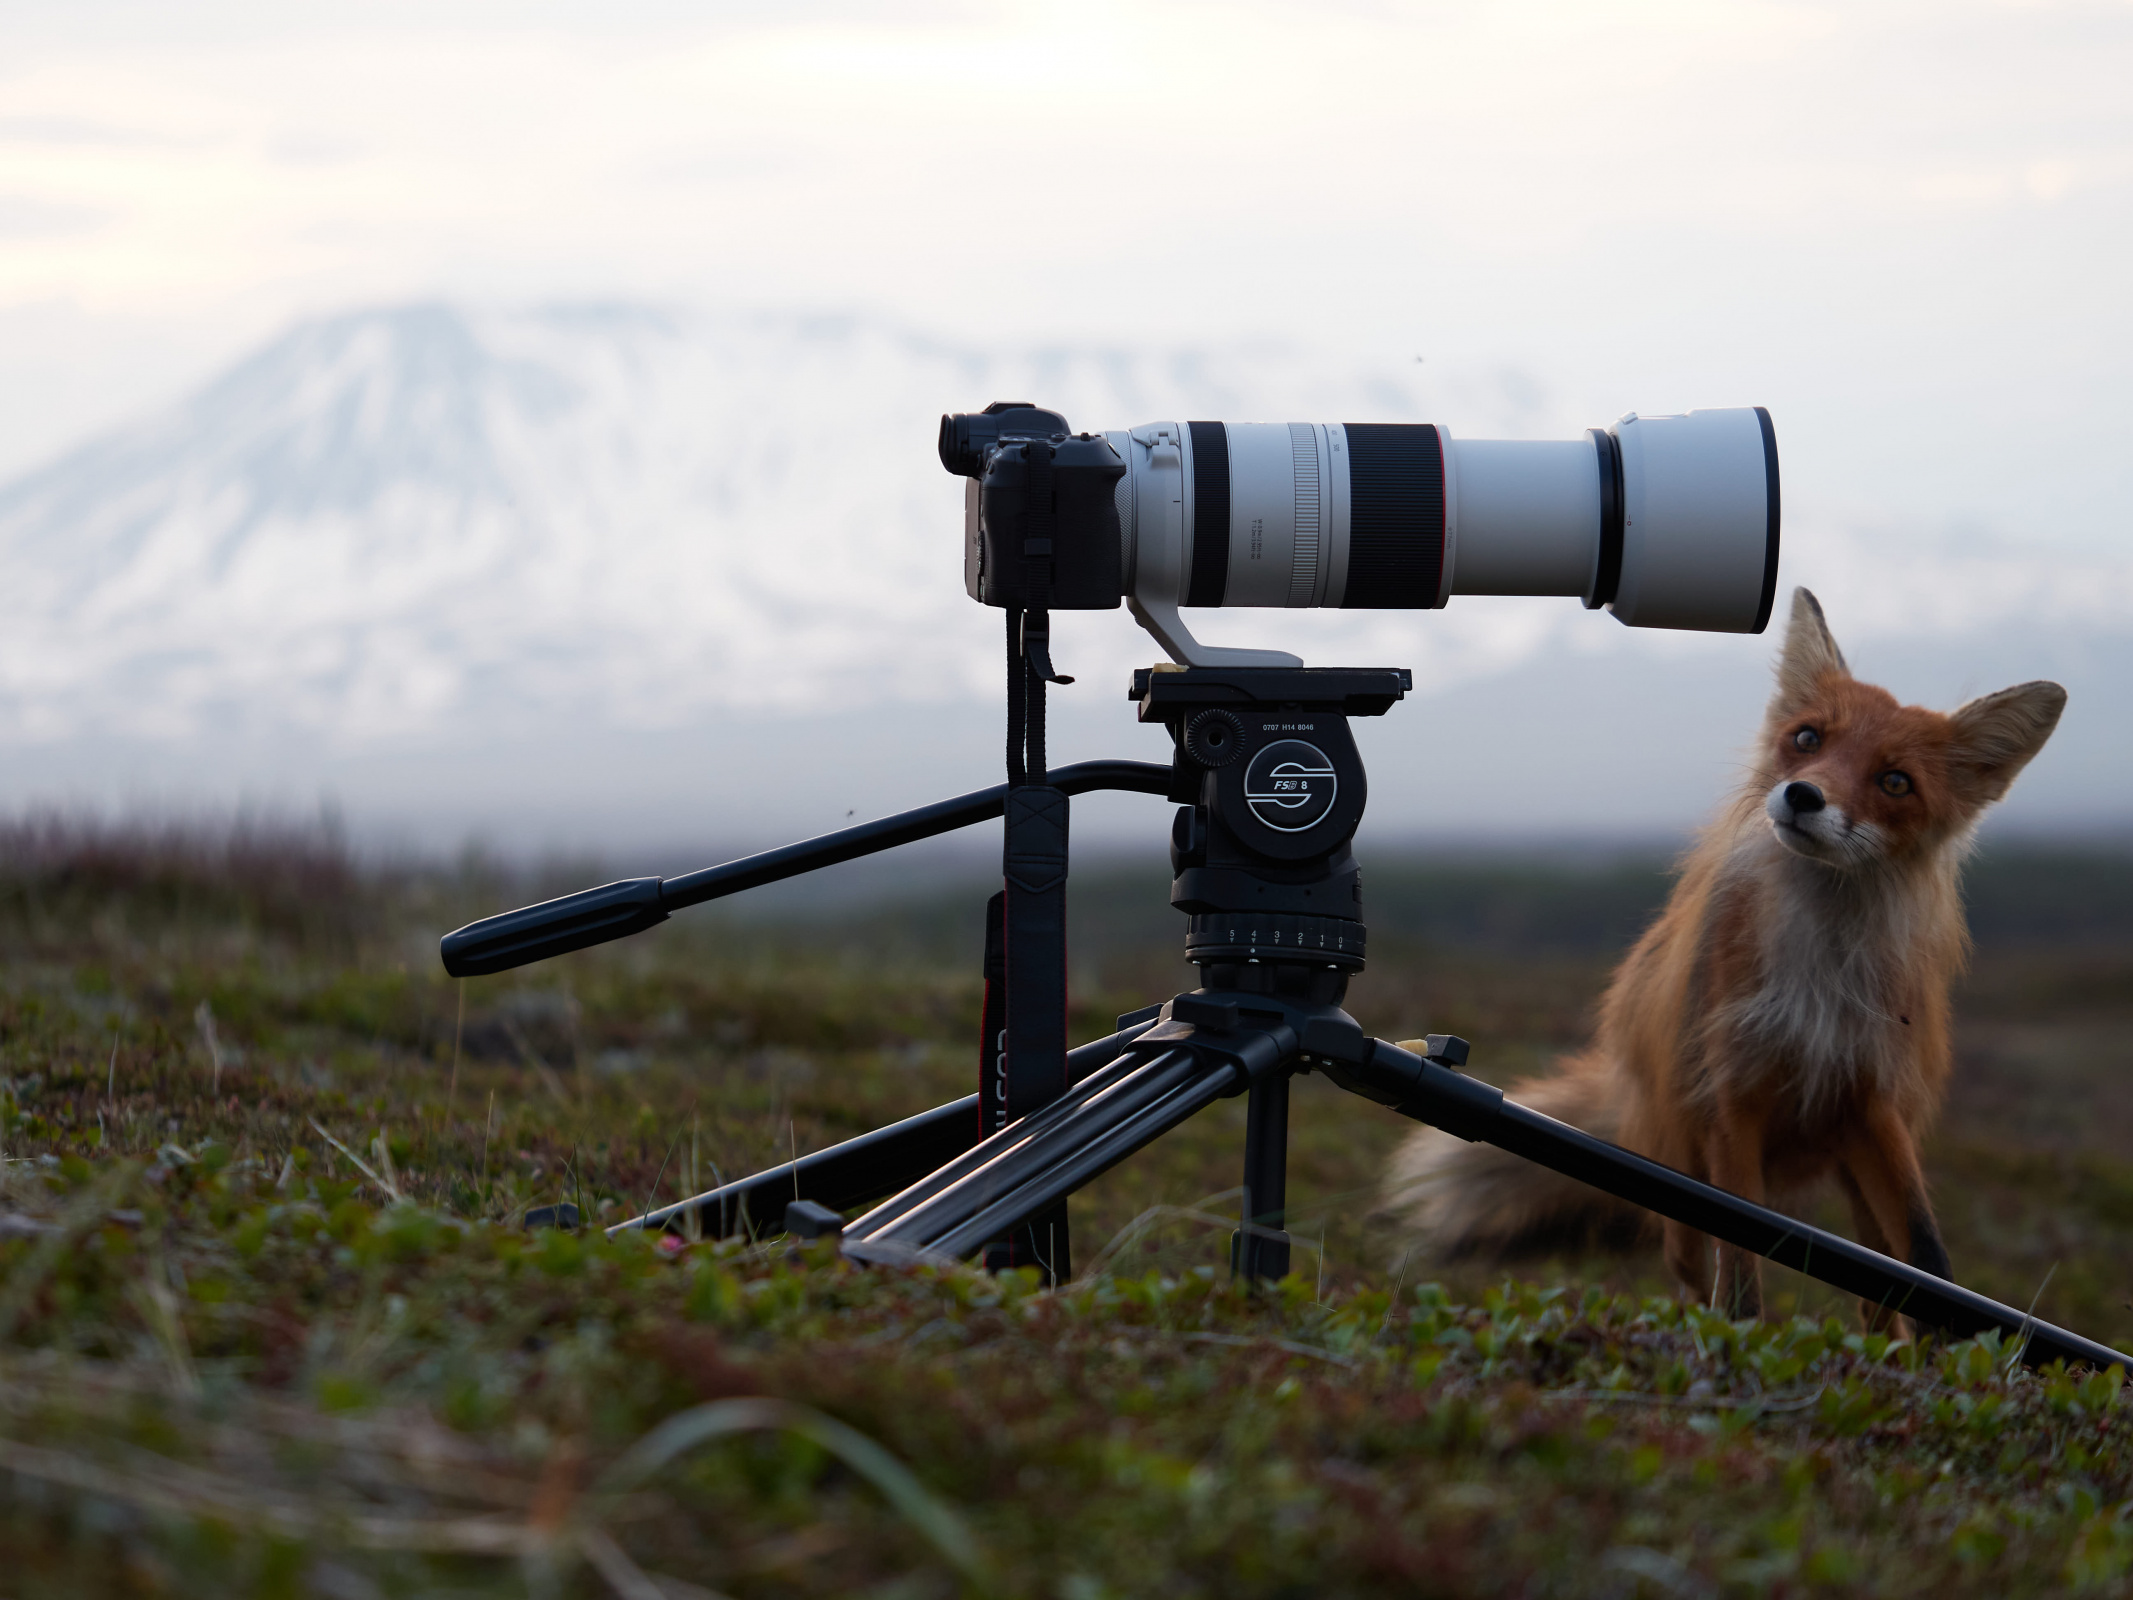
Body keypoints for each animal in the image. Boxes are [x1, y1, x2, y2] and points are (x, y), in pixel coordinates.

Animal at [1382, 588, 2064, 1331]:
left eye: (1894, 781)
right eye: (1807, 739)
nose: (1803, 796)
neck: (1817, 974)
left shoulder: (1871, 1103)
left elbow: (1928, 1259)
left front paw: (1963, 1356)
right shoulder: (1732, 1101)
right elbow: (1738, 1276)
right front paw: (1733, 1345)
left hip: (1850, 1168)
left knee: (1878, 1293)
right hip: (1687, 1173)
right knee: (1690, 1270)